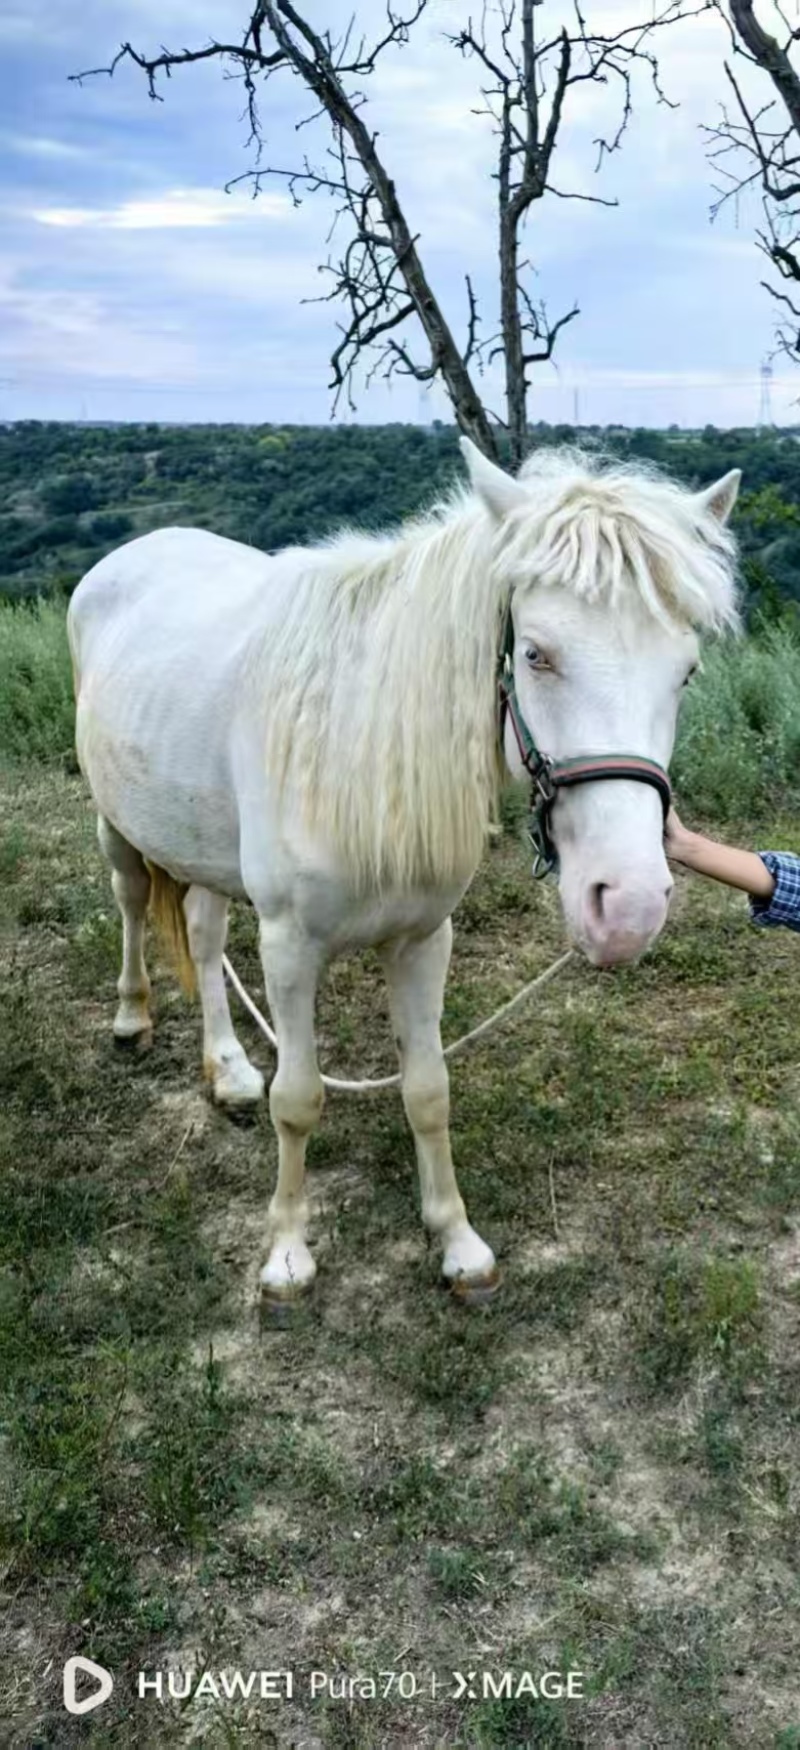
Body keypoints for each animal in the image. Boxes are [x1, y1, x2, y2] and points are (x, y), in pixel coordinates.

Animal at [67, 438, 740, 1304]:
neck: (358, 745)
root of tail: (131, 552)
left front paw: (457, 1244)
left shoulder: (423, 940)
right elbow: (299, 1099)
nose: (627, 907)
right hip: (117, 825)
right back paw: (131, 1019)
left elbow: (426, 1090)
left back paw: (228, 1071)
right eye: (535, 654)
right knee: (128, 903)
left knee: (204, 934)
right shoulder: (290, 947)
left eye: (685, 672)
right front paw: (287, 1256)